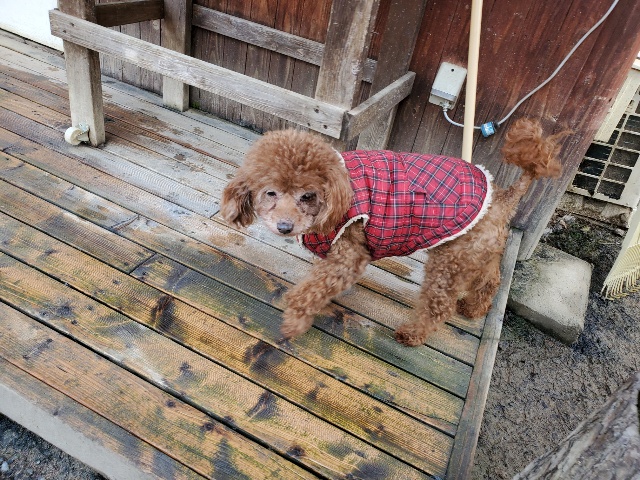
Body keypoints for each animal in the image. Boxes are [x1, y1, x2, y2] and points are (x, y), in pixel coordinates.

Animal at [221, 119, 564, 346]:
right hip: (476, 250)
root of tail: (503, 196)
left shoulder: (350, 253)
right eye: (270, 193)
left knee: (439, 305)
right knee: (491, 279)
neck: (337, 192)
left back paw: (411, 334)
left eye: (308, 196)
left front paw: (294, 323)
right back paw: (474, 308)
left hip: (450, 260)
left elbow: (310, 291)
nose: (285, 227)